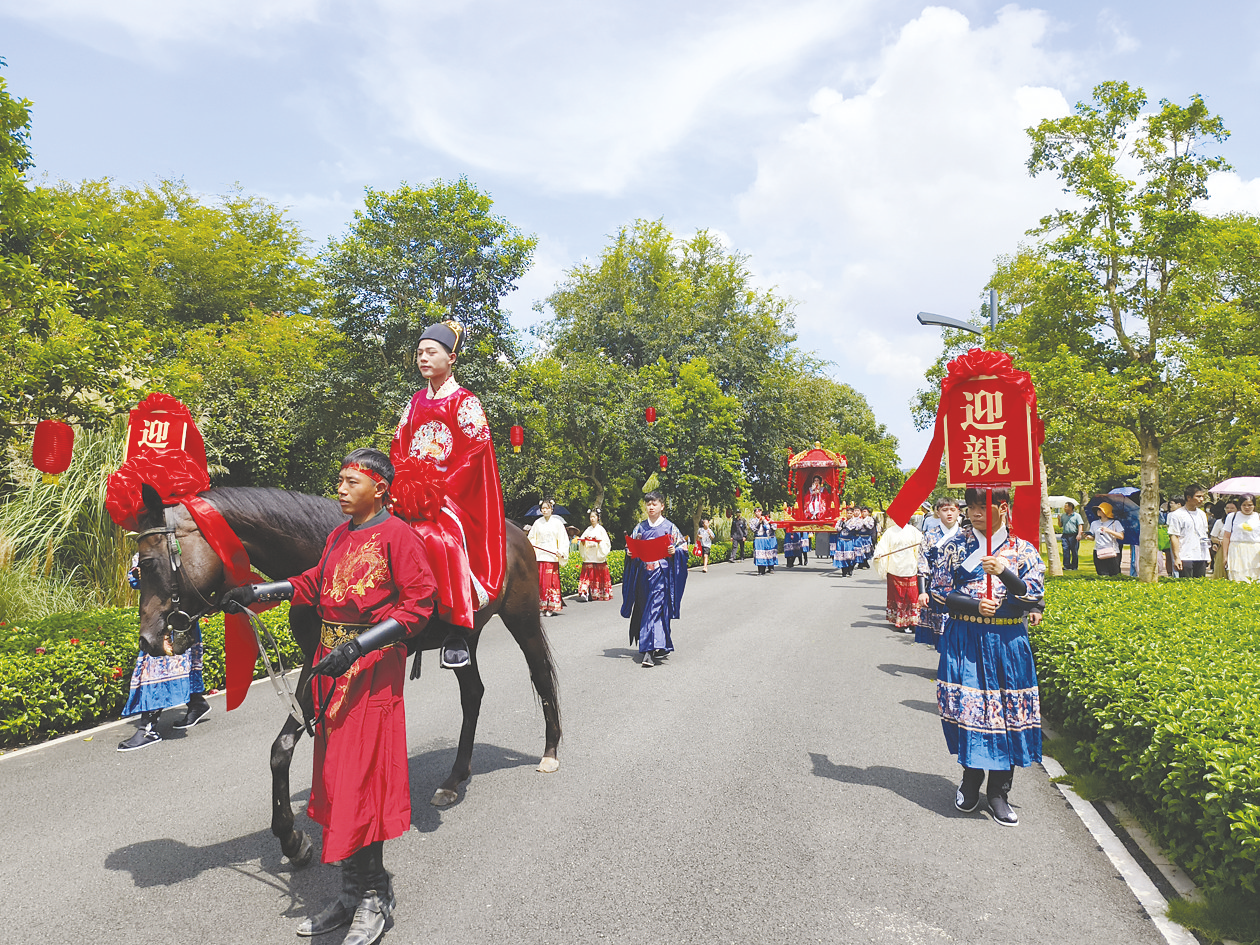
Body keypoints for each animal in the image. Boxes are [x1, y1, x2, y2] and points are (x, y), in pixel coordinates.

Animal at [132, 483, 561, 871]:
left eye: (147, 564)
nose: (149, 639)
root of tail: (517, 533)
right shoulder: (315, 660)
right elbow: (283, 746)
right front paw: (293, 840)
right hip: (468, 636)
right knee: (472, 693)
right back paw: (454, 779)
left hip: (522, 616)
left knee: (541, 676)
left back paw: (550, 752)